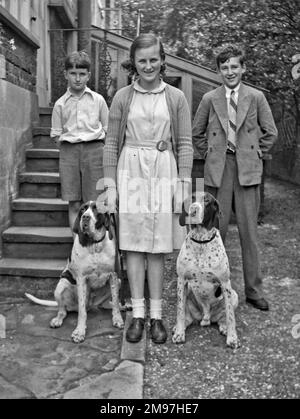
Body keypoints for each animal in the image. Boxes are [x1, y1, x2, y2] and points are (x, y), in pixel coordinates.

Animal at [25, 202, 123, 342]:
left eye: (96, 209)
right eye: (82, 209)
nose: (85, 217)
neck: (94, 245)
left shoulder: (114, 275)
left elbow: (115, 301)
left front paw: (117, 318)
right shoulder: (81, 279)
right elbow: (82, 312)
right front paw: (79, 331)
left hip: (118, 282)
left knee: (105, 304)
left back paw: (121, 306)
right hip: (60, 287)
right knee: (64, 310)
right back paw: (57, 320)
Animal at [172, 192, 240, 350]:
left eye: (207, 200)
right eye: (191, 198)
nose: (193, 210)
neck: (201, 241)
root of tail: (206, 317)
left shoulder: (225, 284)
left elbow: (230, 316)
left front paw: (232, 338)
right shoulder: (181, 281)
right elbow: (179, 311)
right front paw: (179, 333)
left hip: (234, 295)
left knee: (224, 317)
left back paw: (224, 327)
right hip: (188, 293)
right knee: (186, 316)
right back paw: (180, 326)